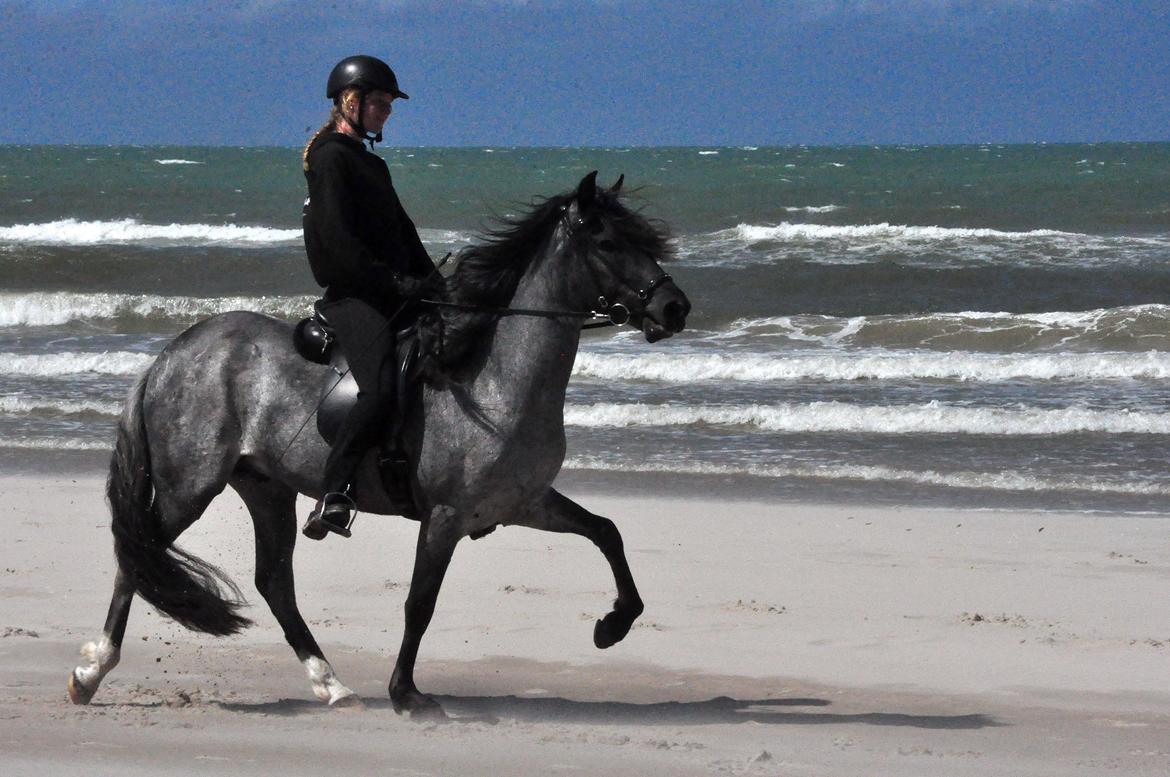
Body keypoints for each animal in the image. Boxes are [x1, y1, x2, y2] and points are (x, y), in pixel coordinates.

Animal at [68, 169, 687, 716]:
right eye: (607, 241)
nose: (674, 308)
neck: (493, 380)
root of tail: (171, 354)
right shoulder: (445, 516)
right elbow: (420, 603)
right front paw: (406, 694)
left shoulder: (523, 503)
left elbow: (606, 532)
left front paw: (613, 625)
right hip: (190, 486)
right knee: (138, 556)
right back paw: (90, 673)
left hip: (265, 487)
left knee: (273, 582)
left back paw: (331, 686)